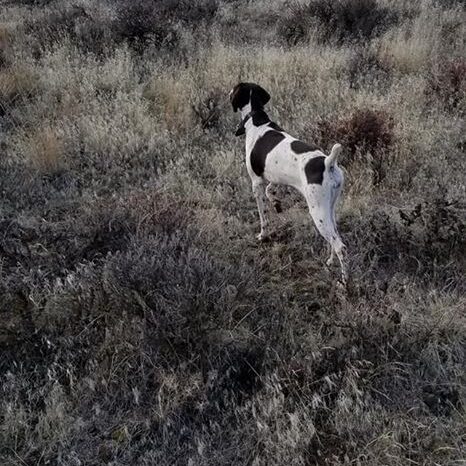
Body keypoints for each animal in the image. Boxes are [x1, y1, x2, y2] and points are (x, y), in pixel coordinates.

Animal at [229, 81, 346, 282]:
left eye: (234, 90)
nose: (228, 92)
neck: (256, 119)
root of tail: (328, 163)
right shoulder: (275, 177)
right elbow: (271, 190)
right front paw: (277, 203)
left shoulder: (256, 182)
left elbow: (263, 216)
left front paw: (263, 235)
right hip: (329, 208)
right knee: (335, 237)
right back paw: (331, 262)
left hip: (318, 212)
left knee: (340, 246)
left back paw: (345, 281)